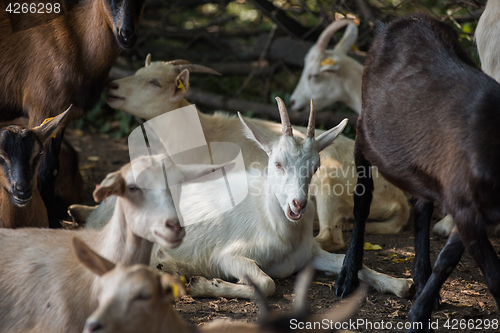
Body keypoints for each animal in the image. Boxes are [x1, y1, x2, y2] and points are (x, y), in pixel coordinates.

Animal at [334, 13, 500, 330]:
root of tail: (395, 22)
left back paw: (421, 278)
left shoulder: (469, 206)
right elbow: (492, 275)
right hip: (365, 134)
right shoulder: (466, 201)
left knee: (421, 206)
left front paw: (421, 307)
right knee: (363, 198)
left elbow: (448, 258)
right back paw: (348, 274)